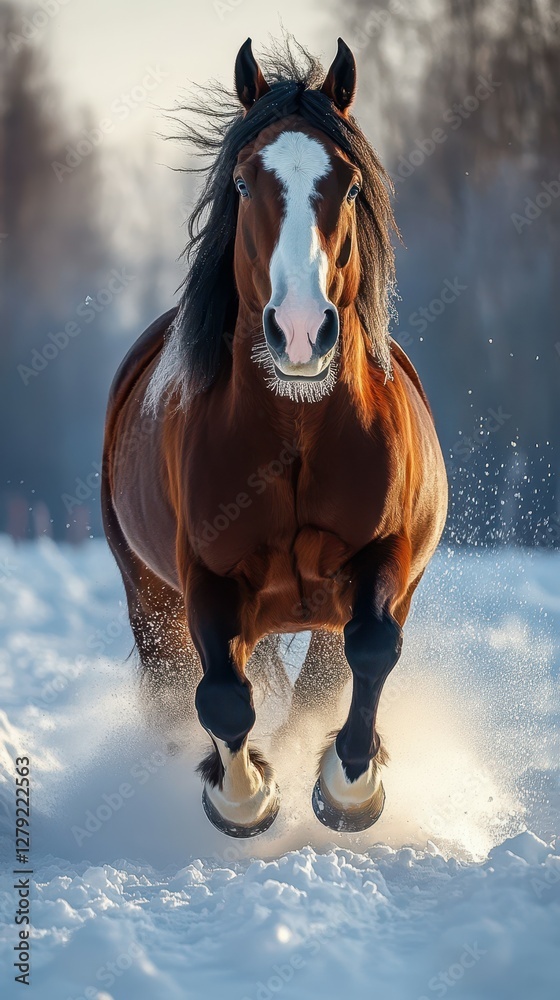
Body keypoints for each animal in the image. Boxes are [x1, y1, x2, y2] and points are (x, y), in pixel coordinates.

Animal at [102, 37, 448, 838]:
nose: (297, 330)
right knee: (186, 686)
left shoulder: (385, 556)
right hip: (149, 599)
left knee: (326, 673)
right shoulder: (206, 576)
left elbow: (371, 650)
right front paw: (246, 796)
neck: (297, 427)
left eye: (349, 185)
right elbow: (224, 697)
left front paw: (350, 787)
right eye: (243, 180)